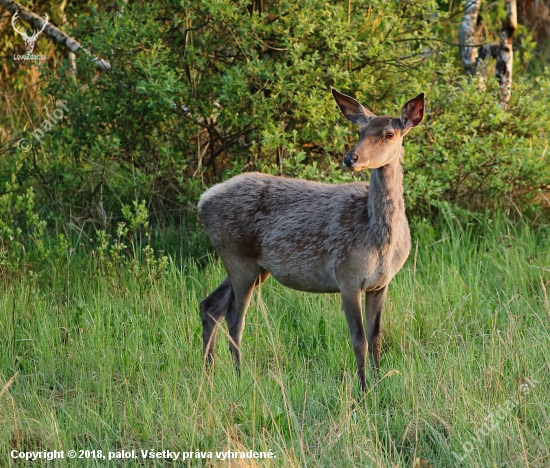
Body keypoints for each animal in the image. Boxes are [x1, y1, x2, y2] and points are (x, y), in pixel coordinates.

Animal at [198, 88, 426, 392]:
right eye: (360, 130)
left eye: (389, 133)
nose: (350, 158)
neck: (380, 240)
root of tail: (203, 201)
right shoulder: (347, 276)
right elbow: (359, 339)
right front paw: (363, 390)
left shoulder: (381, 283)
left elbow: (376, 338)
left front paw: (378, 384)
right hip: (238, 256)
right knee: (235, 317)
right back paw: (240, 375)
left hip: (254, 266)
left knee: (211, 305)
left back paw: (209, 372)